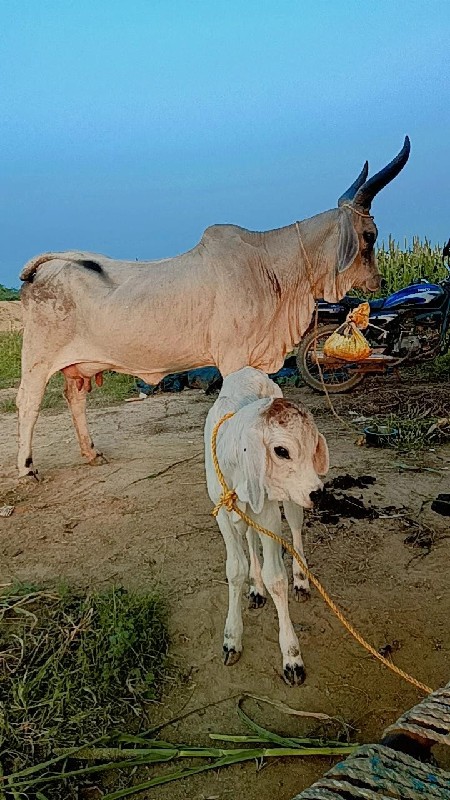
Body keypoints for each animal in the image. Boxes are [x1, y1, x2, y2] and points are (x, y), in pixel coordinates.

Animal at [17, 138, 410, 478]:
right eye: (370, 236)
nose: (377, 281)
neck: (271, 266)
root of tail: (47, 268)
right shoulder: (233, 357)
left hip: (77, 366)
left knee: (75, 398)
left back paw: (91, 452)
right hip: (37, 356)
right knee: (28, 402)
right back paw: (27, 467)